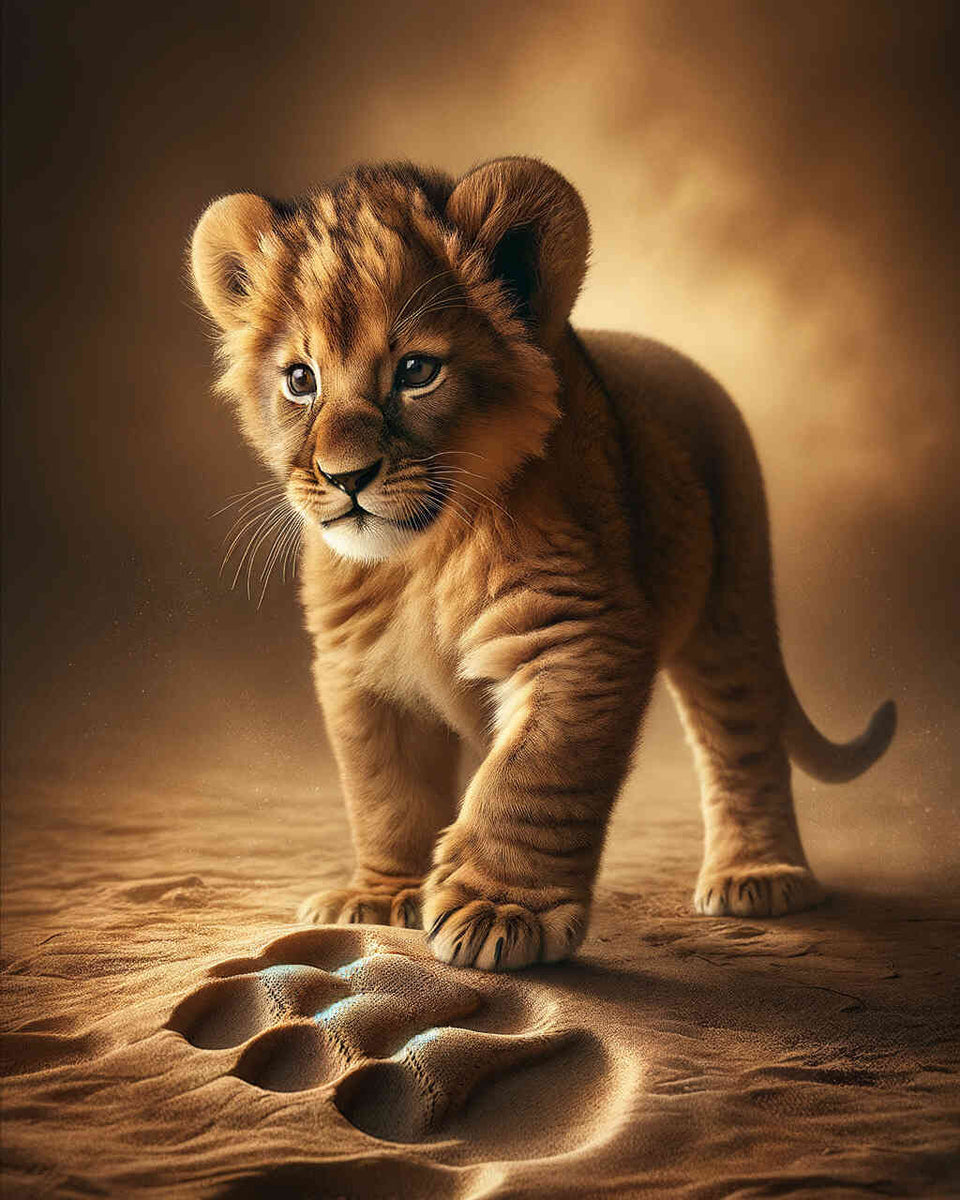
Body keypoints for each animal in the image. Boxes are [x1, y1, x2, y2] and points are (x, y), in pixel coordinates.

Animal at [190, 157, 896, 971]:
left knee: (741, 735)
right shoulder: (357, 667)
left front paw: (499, 912)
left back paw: (759, 875)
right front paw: (381, 894)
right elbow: (386, 790)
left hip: (734, 596)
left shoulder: (579, 631)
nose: (345, 477)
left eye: (416, 370)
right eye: (299, 381)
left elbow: (531, 778)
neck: (421, 559)